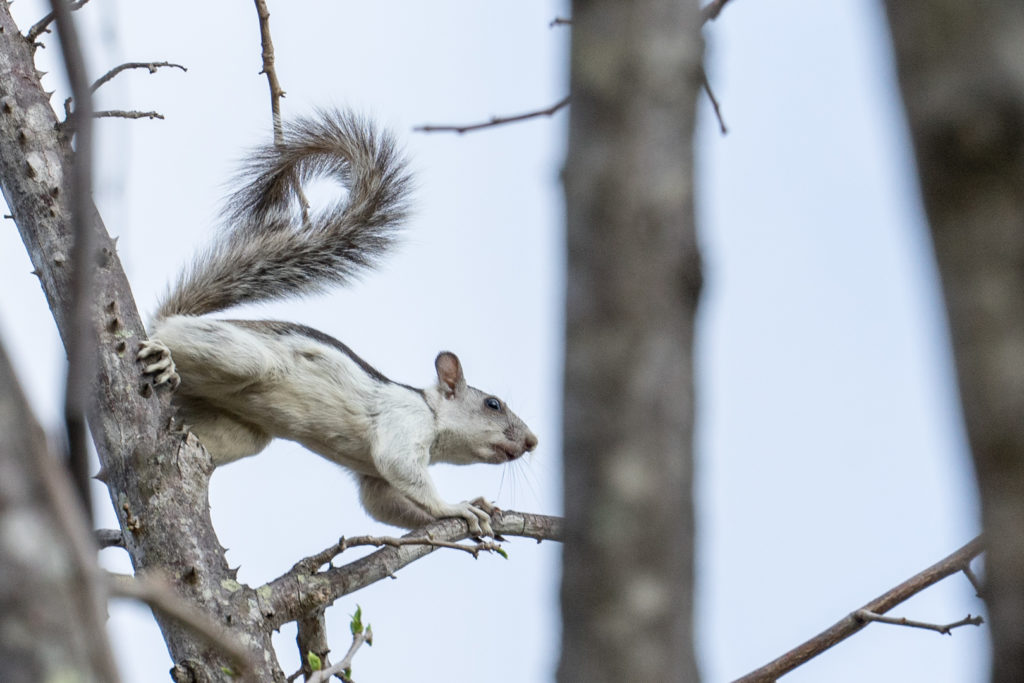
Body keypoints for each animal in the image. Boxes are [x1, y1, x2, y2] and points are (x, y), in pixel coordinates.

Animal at [138, 109, 536, 536]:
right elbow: (402, 469)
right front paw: (456, 508)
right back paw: (163, 355)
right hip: (240, 355)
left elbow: (385, 503)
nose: (533, 442)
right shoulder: (403, 425)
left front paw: (475, 505)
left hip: (238, 430)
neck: (430, 416)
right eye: (493, 404)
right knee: (183, 340)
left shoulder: (374, 477)